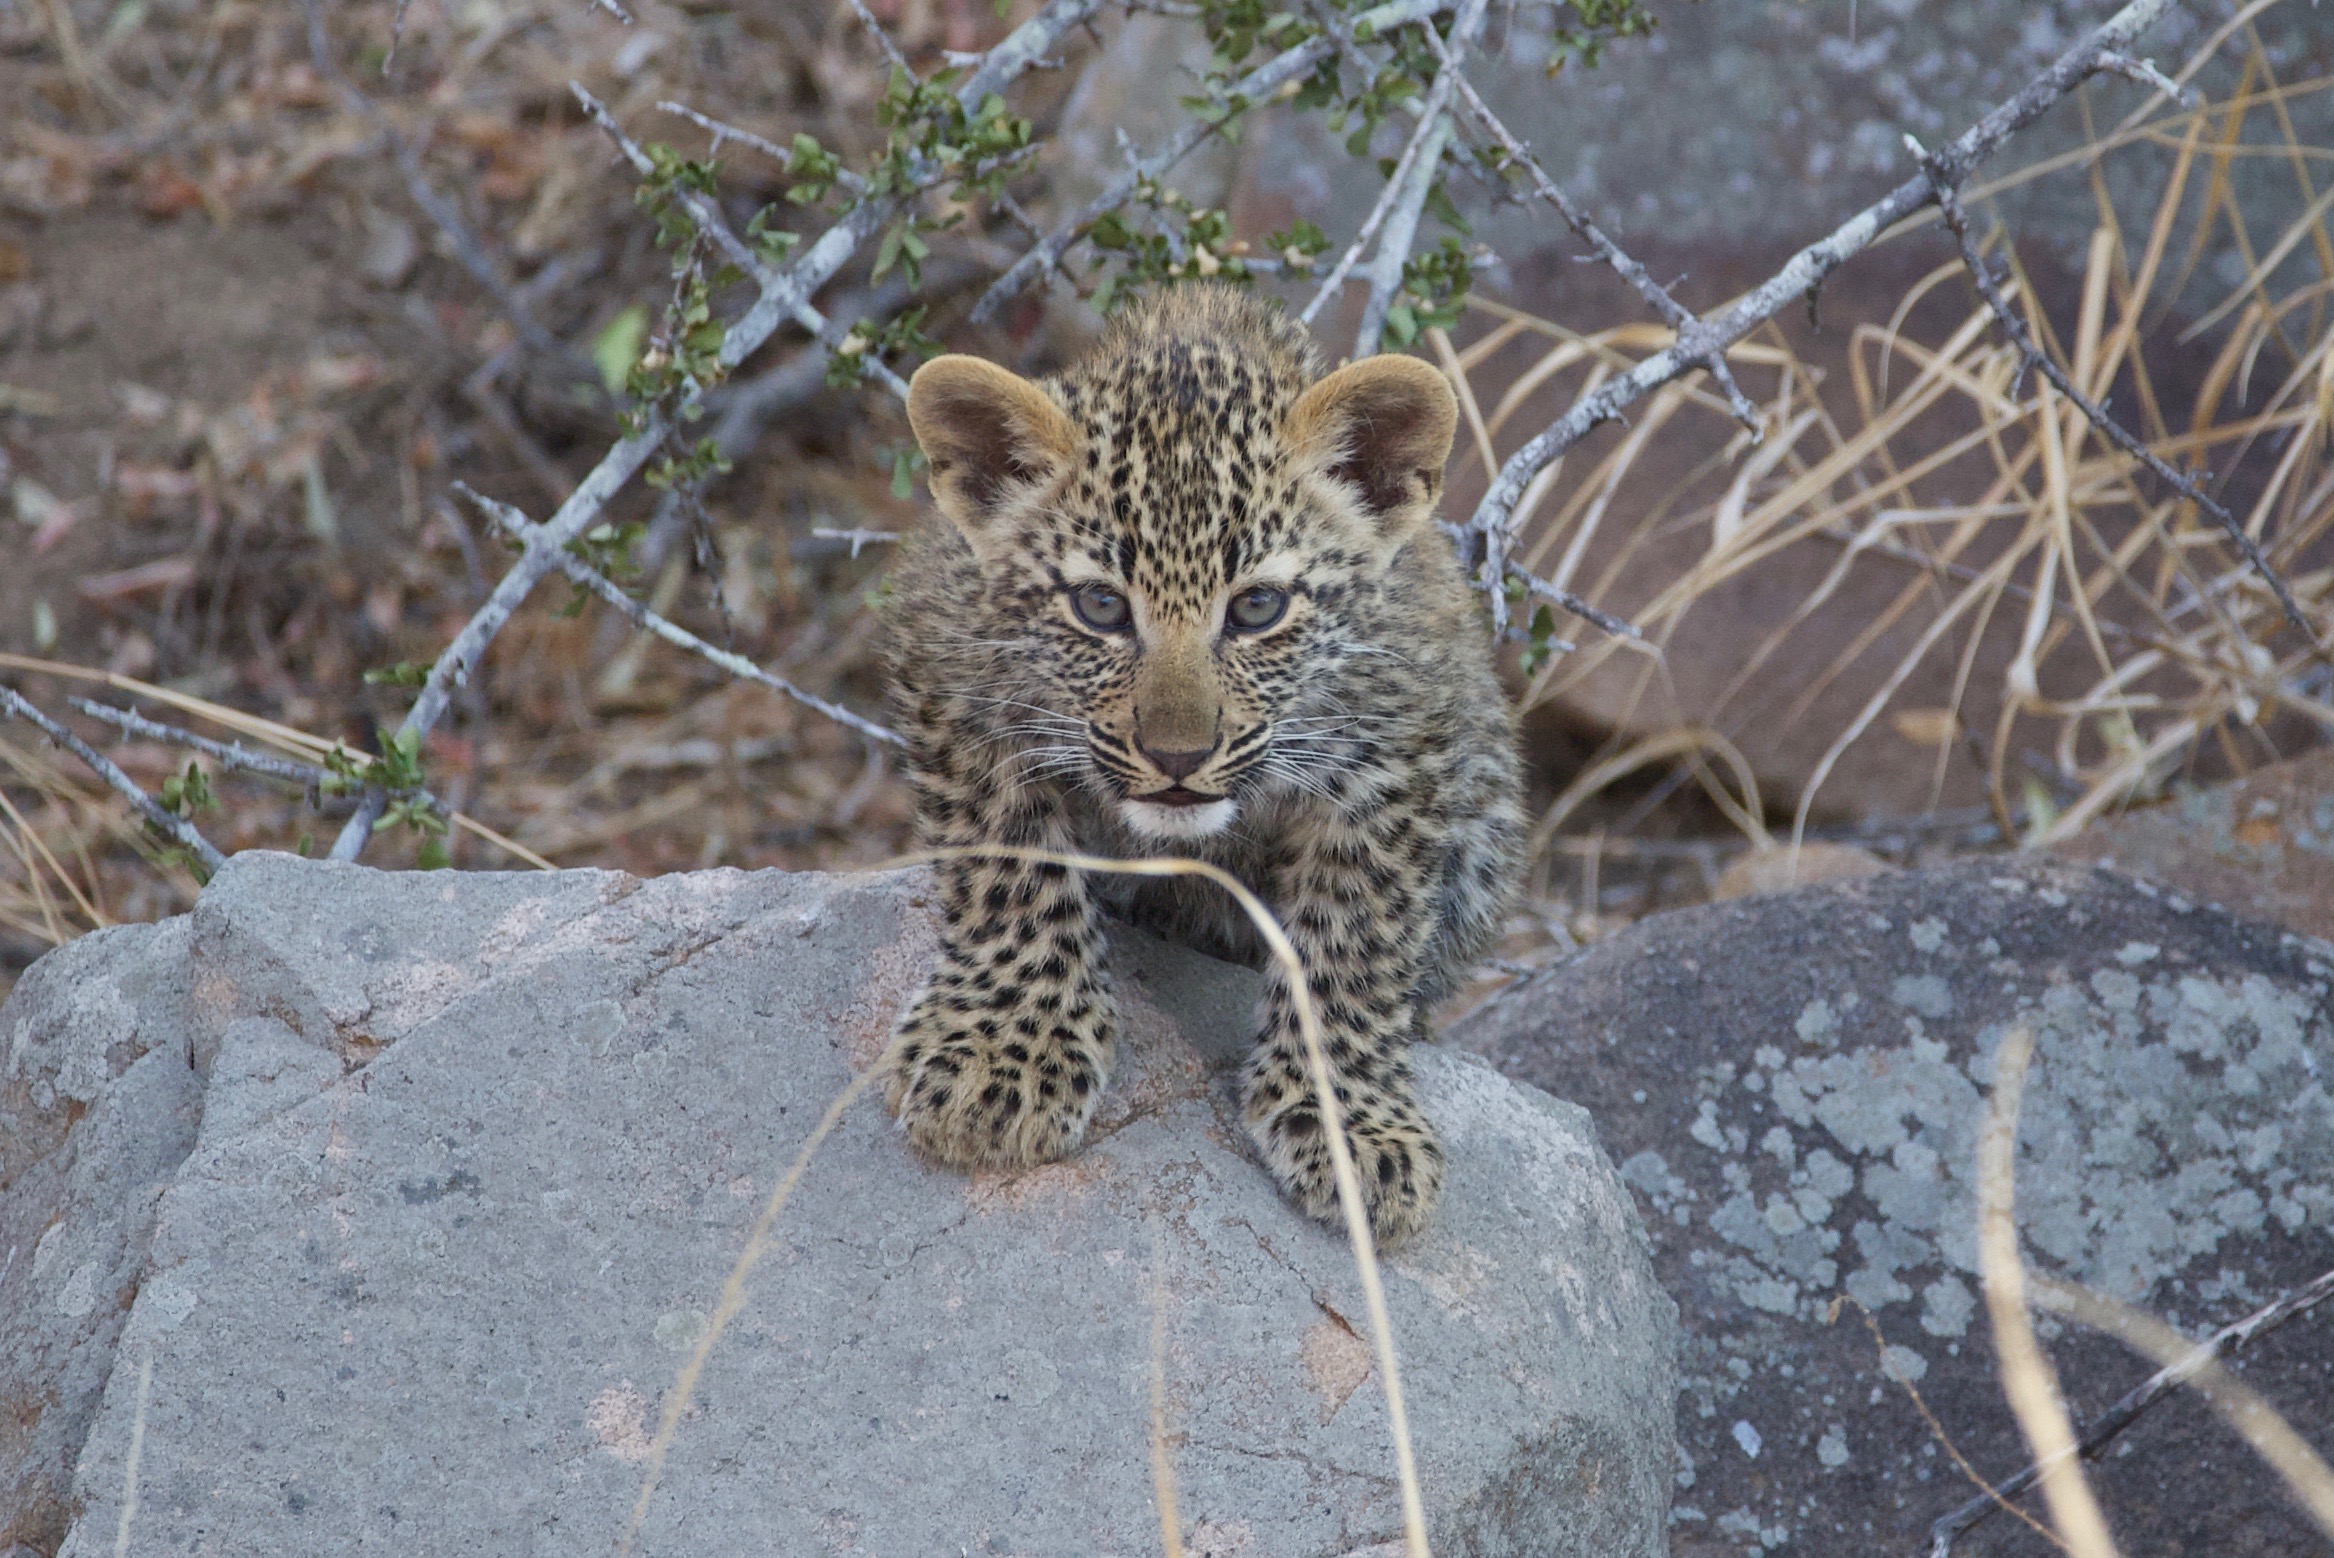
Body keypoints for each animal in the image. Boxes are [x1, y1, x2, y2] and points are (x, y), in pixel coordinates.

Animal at [878, 285, 1522, 1245]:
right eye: (1100, 606)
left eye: (1257, 608)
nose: (1178, 755)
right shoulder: (951, 675)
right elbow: (1010, 876)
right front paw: (1006, 1048)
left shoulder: (1406, 745)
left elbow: (1355, 942)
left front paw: (1351, 1127)